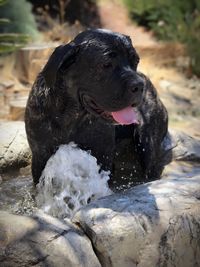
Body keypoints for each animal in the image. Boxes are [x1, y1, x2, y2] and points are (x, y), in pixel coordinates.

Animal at [25, 29, 169, 188]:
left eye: (135, 61)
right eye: (106, 64)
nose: (139, 85)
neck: (71, 117)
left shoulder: (102, 156)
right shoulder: (40, 157)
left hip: (147, 140)